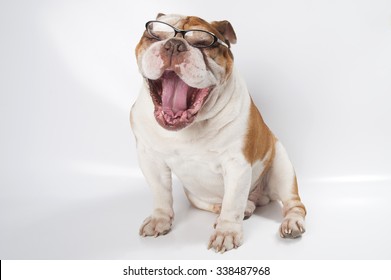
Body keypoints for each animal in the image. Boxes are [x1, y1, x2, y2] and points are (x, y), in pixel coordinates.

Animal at [130, 13, 308, 254]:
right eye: (156, 35)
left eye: (203, 43)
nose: (174, 44)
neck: (189, 127)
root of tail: (259, 198)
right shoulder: (150, 159)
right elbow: (160, 193)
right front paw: (160, 219)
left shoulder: (236, 164)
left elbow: (232, 203)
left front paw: (227, 233)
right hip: (196, 197)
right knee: (229, 203)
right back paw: (243, 208)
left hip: (282, 166)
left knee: (293, 204)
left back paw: (291, 223)